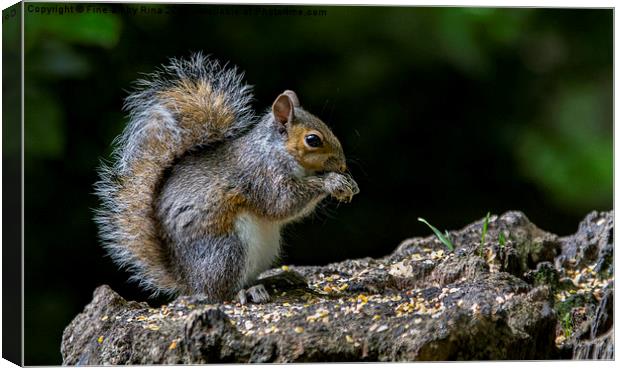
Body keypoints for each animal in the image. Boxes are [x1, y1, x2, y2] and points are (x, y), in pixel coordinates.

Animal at [95, 53, 360, 304]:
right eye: (313, 140)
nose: (342, 165)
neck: (274, 150)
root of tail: (187, 281)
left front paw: (349, 183)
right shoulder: (261, 176)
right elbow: (283, 203)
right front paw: (332, 182)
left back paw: (280, 278)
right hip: (226, 250)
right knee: (219, 293)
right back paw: (247, 292)